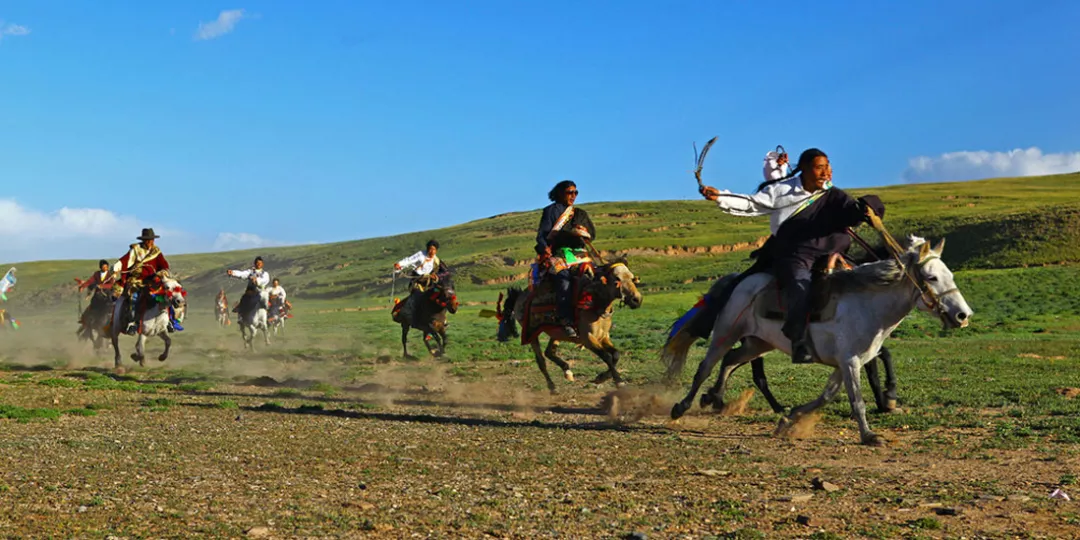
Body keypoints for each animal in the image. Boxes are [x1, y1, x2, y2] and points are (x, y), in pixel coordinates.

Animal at [498, 258, 639, 393]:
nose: (636, 300)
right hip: (532, 333)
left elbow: (616, 354)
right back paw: (553, 387)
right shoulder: (588, 339)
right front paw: (618, 381)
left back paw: (567, 371)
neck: (594, 302)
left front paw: (602, 378)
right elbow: (607, 357)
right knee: (541, 361)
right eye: (617, 279)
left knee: (549, 352)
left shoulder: (603, 337)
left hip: (556, 333)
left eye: (632, 278)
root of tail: (519, 296)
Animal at [660, 238, 976, 444]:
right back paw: (682, 406)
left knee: (730, 361)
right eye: (931, 277)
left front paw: (791, 418)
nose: (963, 315)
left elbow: (827, 396)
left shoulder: (845, 363)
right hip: (727, 333)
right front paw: (869, 434)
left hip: (757, 343)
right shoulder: (850, 362)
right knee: (705, 367)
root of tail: (741, 281)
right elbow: (856, 400)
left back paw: (715, 397)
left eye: (950, 274)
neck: (868, 305)